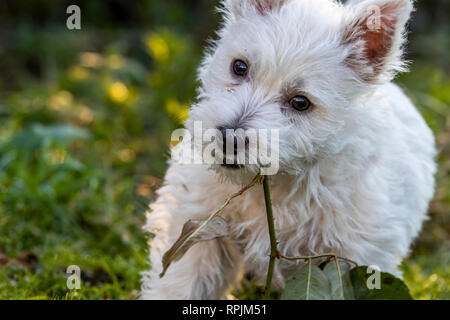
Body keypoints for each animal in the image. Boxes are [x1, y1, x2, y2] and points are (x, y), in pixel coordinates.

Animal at [141, 0, 436, 300]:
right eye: (239, 67)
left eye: (300, 102)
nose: (229, 138)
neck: (279, 182)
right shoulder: (198, 226)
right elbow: (180, 282)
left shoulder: (357, 255)